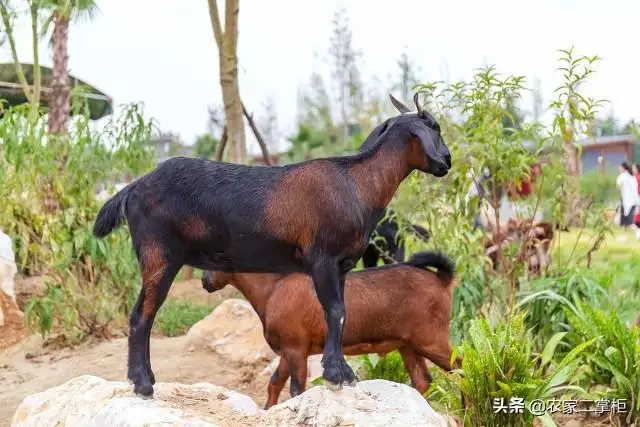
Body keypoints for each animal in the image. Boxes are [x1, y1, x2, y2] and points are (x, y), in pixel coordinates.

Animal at [91, 93, 450, 398]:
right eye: (434, 128)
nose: (446, 161)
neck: (356, 183)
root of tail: (133, 188)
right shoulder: (322, 258)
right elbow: (334, 310)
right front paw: (338, 375)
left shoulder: (342, 266)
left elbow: (340, 313)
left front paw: (339, 372)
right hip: (159, 256)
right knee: (141, 316)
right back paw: (142, 385)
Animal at [202, 252, 458, 410]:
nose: (206, 282)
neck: (275, 287)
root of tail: (442, 279)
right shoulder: (290, 350)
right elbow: (274, 383)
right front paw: (267, 410)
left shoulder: (295, 349)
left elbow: (296, 389)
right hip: (408, 344)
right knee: (422, 380)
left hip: (431, 339)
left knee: (460, 368)